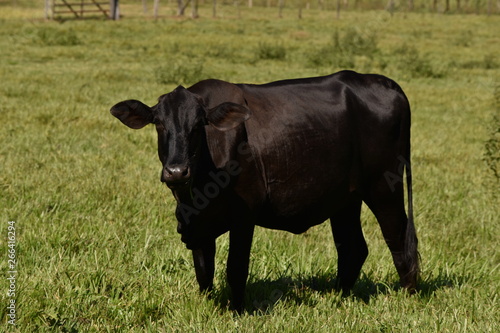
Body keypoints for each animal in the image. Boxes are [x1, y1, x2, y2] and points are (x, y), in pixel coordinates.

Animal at [111, 70, 420, 312]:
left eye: (199, 125)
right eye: (159, 124)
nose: (176, 171)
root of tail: (383, 82)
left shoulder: (244, 215)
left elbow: (236, 267)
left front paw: (236, 311)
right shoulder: (196, 221)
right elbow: (203, 269)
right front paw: (208, 305)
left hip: (384, 187)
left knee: (399, 241)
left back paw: (408, 298)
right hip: (345, 199)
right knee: (352, 247)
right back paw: (338, 297)